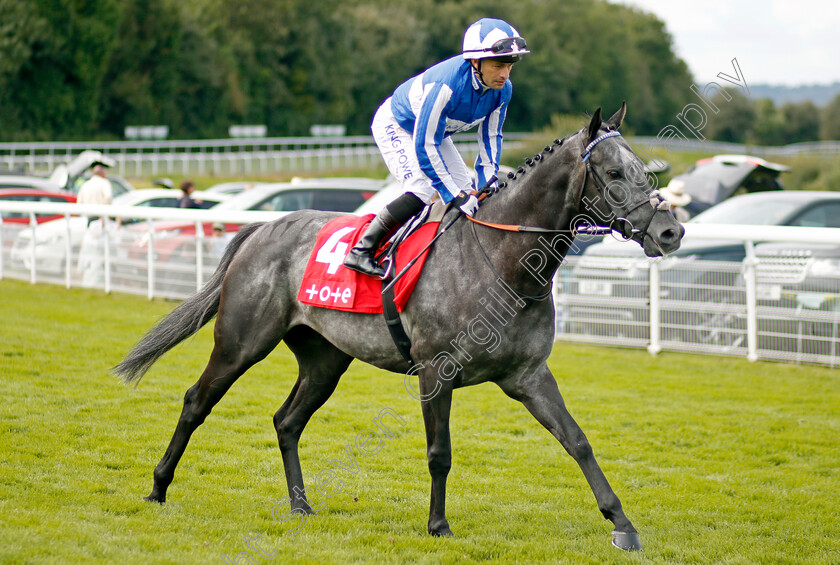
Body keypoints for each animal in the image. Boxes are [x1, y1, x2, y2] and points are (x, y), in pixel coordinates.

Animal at [115, 103, 684, 548]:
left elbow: (578, 441)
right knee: (197, 400)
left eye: (645, 171)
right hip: (241, 342)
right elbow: (439, 452)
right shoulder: (437, 370)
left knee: (287, 421)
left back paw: (300, 505)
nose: (670, 230)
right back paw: (159, 486)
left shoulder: (529, 375)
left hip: (324, 359)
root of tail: (261, 228)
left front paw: (622, 523)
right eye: (614, 174)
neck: (501, 260)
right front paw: (438, 525)